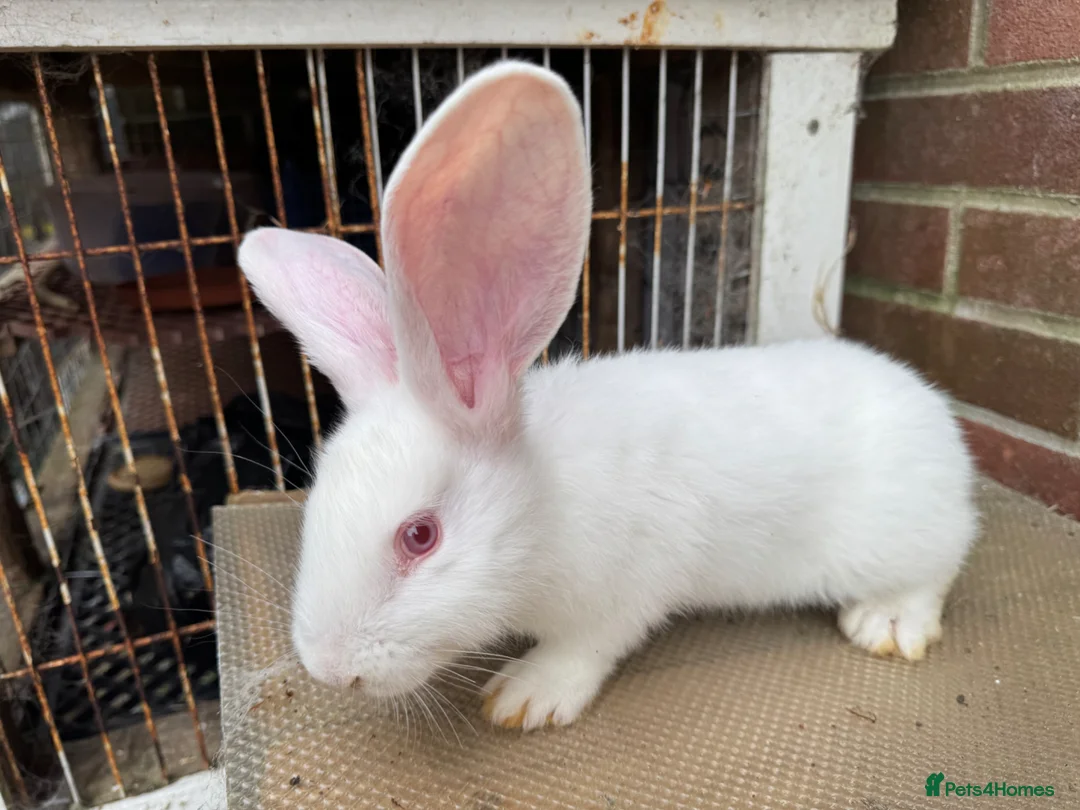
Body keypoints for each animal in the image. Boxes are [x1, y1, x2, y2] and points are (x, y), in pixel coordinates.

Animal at [237, 61, 979, 732]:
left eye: (420, 536)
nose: (330, 669)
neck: (545, 507)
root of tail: (937, 421)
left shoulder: (624, 589)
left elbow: (586, 648)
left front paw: (524, 697)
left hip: (902, 537)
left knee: (939, 567)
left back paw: (885, 623)